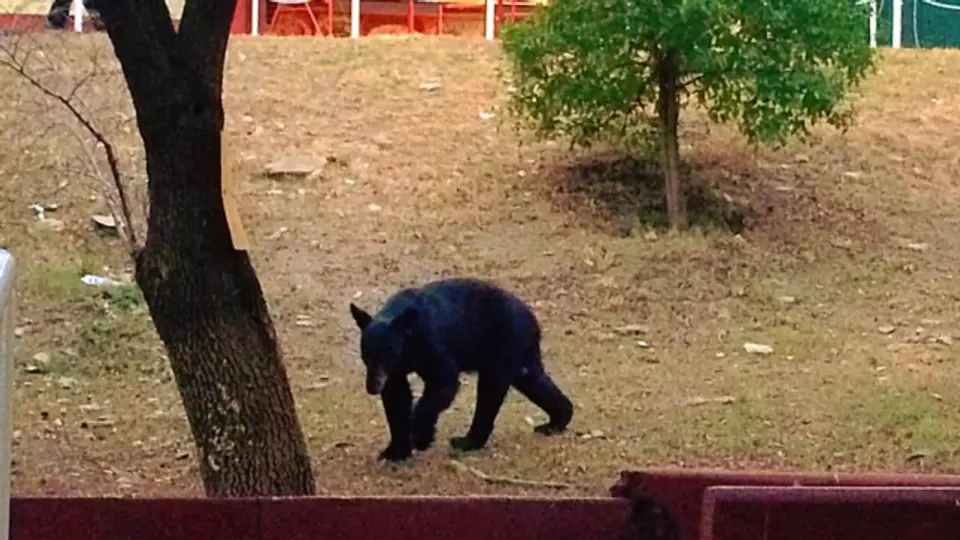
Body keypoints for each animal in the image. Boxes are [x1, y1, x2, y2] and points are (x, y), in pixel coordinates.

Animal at [349, 277, 574, 462]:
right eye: (365, 356)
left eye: (388, 354)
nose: (372, 387)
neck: (409, 339)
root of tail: (532, 318)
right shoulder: (395, 372)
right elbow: (397, 398)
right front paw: (396, 451)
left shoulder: (432, 346)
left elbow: (442, 384)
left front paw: (421, 436)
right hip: (521, 359)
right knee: (534, 381)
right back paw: (556, 422)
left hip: (505, 346)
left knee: (489, 394)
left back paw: (467, 442)